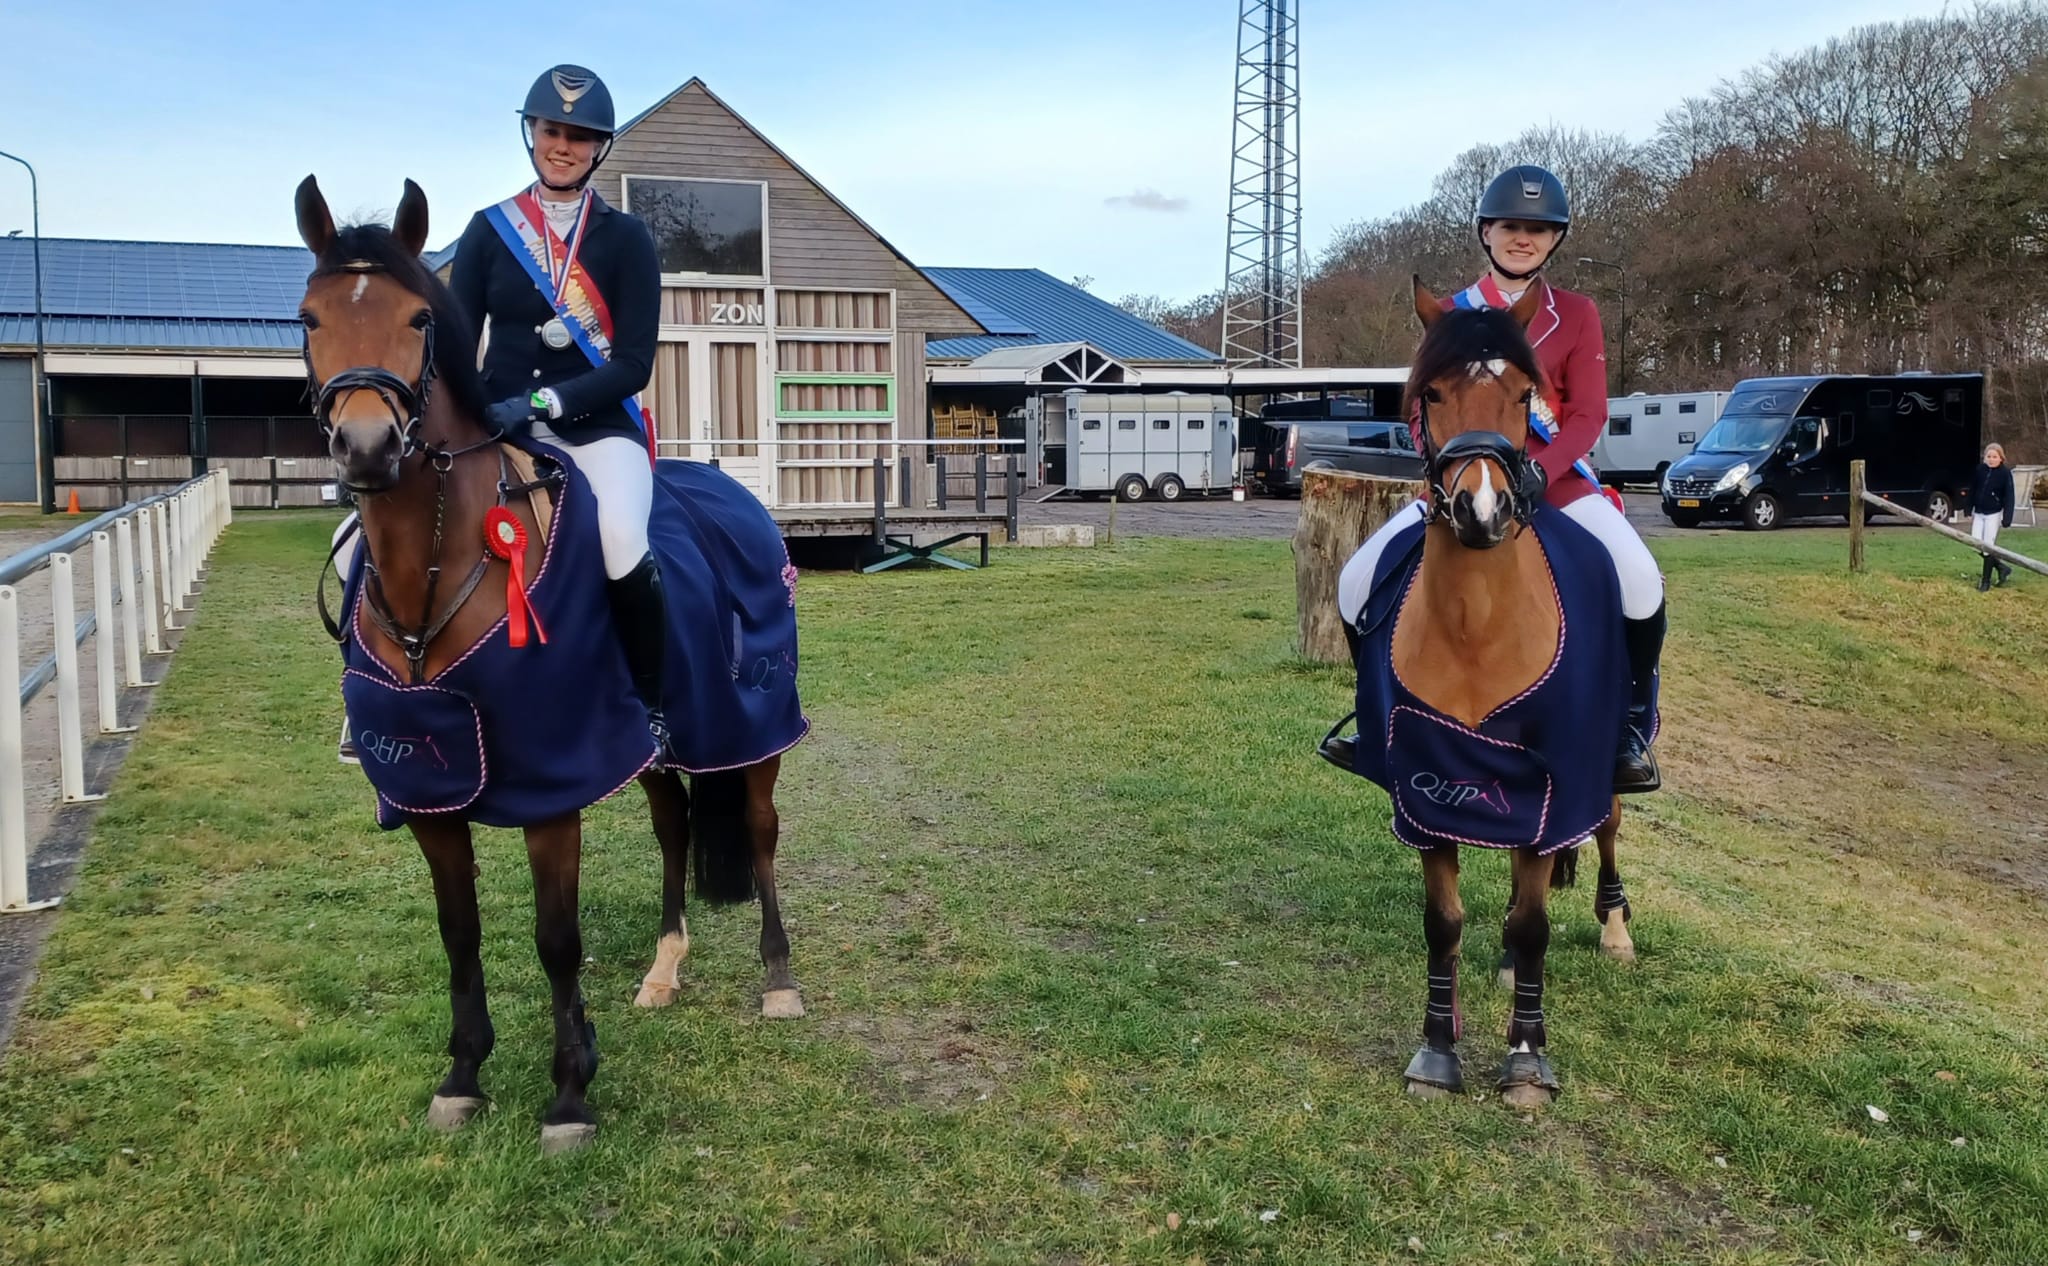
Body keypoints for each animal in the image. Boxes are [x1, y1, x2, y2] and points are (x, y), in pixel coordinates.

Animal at [296, 177, 806, 1155]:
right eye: (307, 319)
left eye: (421, 318)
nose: (367, 448)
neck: (436, 575)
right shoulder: (431, 788)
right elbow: (459, 933)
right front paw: (463, 1077)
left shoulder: (553, 787)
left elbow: (556, 937)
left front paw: (571, 1092)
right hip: (652, 749)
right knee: (673, 830)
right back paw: (664, 970)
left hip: (753, 733)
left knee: (760, 836)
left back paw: (779, 981)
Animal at [1327, 278, 1646, 1106]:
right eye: (1430, 393)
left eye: (1525, 393)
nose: (1482, 510)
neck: (1477, 624)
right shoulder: (1426, 781)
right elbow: (1444, 921)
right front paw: (1437, 1051)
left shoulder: (1557, 780)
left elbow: (1534, 926)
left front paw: (1527, 1060)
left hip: (1601, 765)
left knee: (1607, 827)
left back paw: (1614, 928)